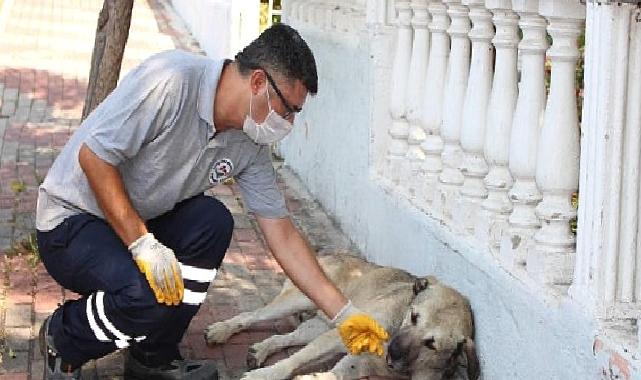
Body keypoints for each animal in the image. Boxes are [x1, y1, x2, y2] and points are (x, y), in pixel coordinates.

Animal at [205, 252, 480, 380]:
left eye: (431, 343)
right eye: (413, 316)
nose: (391, 351)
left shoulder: (361, 363)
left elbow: (332, 372)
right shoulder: (341, 340)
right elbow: (294, 360)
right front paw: (266, 375)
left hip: (318, 325)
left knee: (287, 338)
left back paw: (262, 349)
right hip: (298, 300)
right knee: (254, 315)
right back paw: (222, 329)